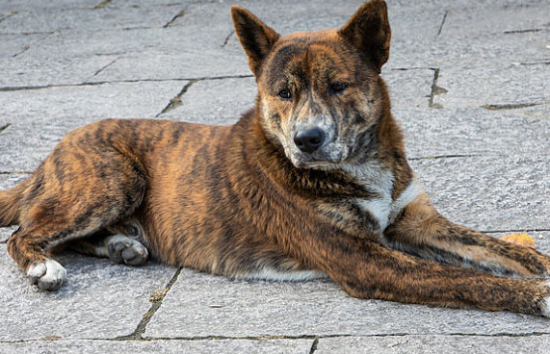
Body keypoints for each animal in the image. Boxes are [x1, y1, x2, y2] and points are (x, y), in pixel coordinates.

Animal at [1, 0, 550, 316]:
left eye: (338, 86)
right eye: (282, 92)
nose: (308, 139)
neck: (360, 164)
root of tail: (54, 151)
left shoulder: (417, 223)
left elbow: (507, 251)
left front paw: (536, 265)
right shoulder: (365, 259)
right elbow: (467, 279)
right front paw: (540, 296)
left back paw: (120, 245)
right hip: (113, 179)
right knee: (24, 232)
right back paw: (43, 267)